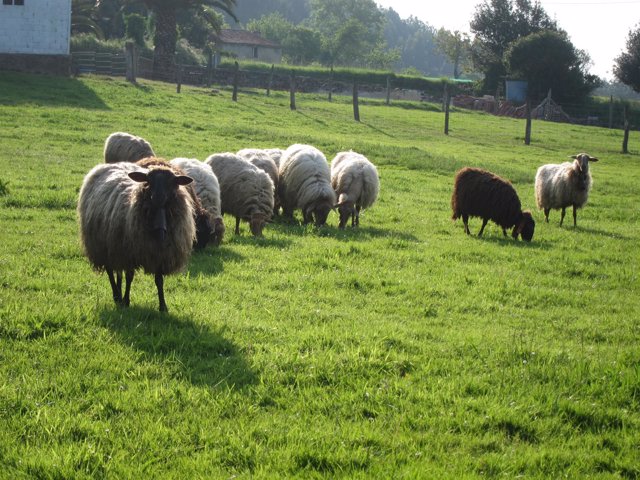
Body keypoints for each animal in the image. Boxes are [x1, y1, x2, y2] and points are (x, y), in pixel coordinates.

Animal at [76, 161, 195, 312]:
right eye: (148, 181)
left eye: (171, 182)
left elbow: (159, 280)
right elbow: (129, 277)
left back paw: (119, 294)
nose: (157, 198)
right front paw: (126, 301)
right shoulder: (129, 252)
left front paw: (163, 306)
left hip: (115, 248)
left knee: (118, 271)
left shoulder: (160, 254)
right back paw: (117, 295)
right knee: (110, 270)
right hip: (103, 246)